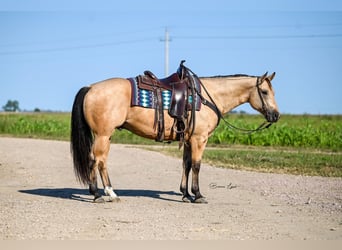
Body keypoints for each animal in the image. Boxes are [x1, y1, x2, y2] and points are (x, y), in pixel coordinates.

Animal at [71, 60, 280, 203]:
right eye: (265, 92)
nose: (276, 115)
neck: (207, 97)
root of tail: (91, 87)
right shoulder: (199, 139)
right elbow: (196, 165)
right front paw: (198, 195)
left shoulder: (188, 139)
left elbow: (186, 164)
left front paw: (185, 194)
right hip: (103, 135)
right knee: (97, 160)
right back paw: (103, 194)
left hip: (105, 136)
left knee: (99, 161)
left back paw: (102, 193)